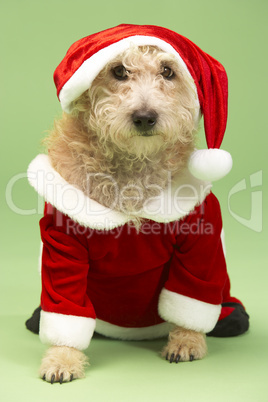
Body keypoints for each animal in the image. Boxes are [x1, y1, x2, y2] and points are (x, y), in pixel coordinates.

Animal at [26, 24, 249, 384]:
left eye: (168, 71)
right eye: (118, 71)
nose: (145, 117)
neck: (132, 171)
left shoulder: (201, 239)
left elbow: (193, 295)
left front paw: (186, 340)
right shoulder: (64, 243)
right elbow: (66, 308)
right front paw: (62, 357)